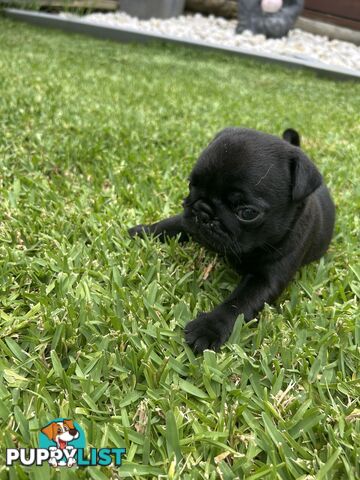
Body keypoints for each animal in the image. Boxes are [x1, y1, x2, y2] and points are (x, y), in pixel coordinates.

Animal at [129, 127, 334, 352]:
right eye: (191, 186)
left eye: (247, 212)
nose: (203, 212)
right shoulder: (185, 221)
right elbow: (172, 224)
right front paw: (143, 231)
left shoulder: (266, 279)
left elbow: (238, 303)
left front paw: (209, 327)